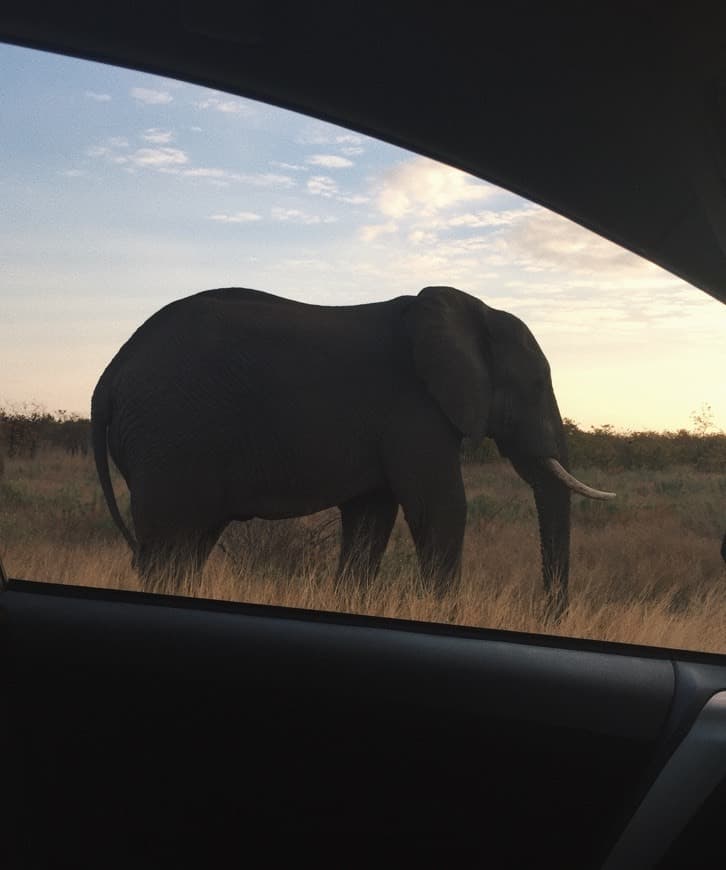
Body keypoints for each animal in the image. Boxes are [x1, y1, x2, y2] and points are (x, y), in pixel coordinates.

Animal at [89, 286, 616, 612]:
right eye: (538, 384)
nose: (549, 616)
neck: (473, 310)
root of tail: (109, 376)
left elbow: (371, 518)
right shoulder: (415, 408)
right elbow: (442, 507)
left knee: (187, 544)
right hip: (170, 434)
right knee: (169, 546)